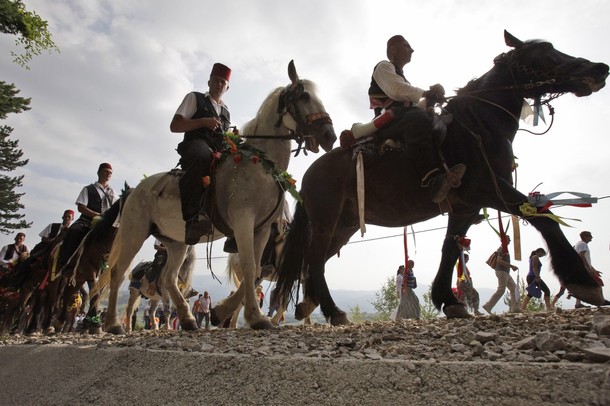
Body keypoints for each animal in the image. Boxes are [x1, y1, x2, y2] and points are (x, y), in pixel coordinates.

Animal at [101, 60, 334, 334]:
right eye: (304, 96)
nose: (330, 135)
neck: (261, 165)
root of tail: (136, 189)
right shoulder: (243, 221)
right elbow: (249, 267)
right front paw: (255, 317)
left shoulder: (261, 230)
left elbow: (254, 270)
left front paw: (222, 312)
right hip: (134, 233)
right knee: (118, 273)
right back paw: (114, 324)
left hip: (177, 242)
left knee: (168, 279)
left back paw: (188, 319)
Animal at [274, 30, 608, 326]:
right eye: (543, 51)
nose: (598, 69)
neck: (479, 124)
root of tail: (310, 173)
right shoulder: (491, 190)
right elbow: (544, 217)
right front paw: (583, 281)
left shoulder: (465, 207)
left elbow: (450, 248)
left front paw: (448, 299)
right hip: (326, 221)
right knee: (314, 259)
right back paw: (332, 311)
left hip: (344, 225)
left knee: (315, 261)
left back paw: (310, 305)